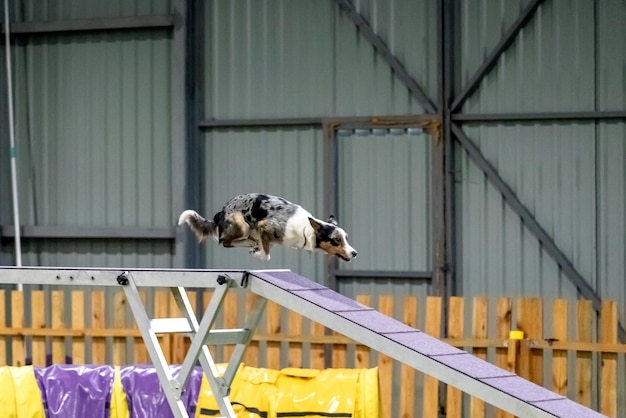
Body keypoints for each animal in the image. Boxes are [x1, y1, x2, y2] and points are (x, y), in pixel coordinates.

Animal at [178, 193, 358, 262]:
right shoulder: (264, 227)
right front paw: (256, 253)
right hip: (241, 224)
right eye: (337, 240)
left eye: (346, 239)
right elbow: (266, 256)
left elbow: (264, 248)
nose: (355, 253)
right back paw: (248, 244)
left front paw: (256, 249)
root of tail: (220, 212)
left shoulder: (266, 236)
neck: (306, 230)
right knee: (225, 242)